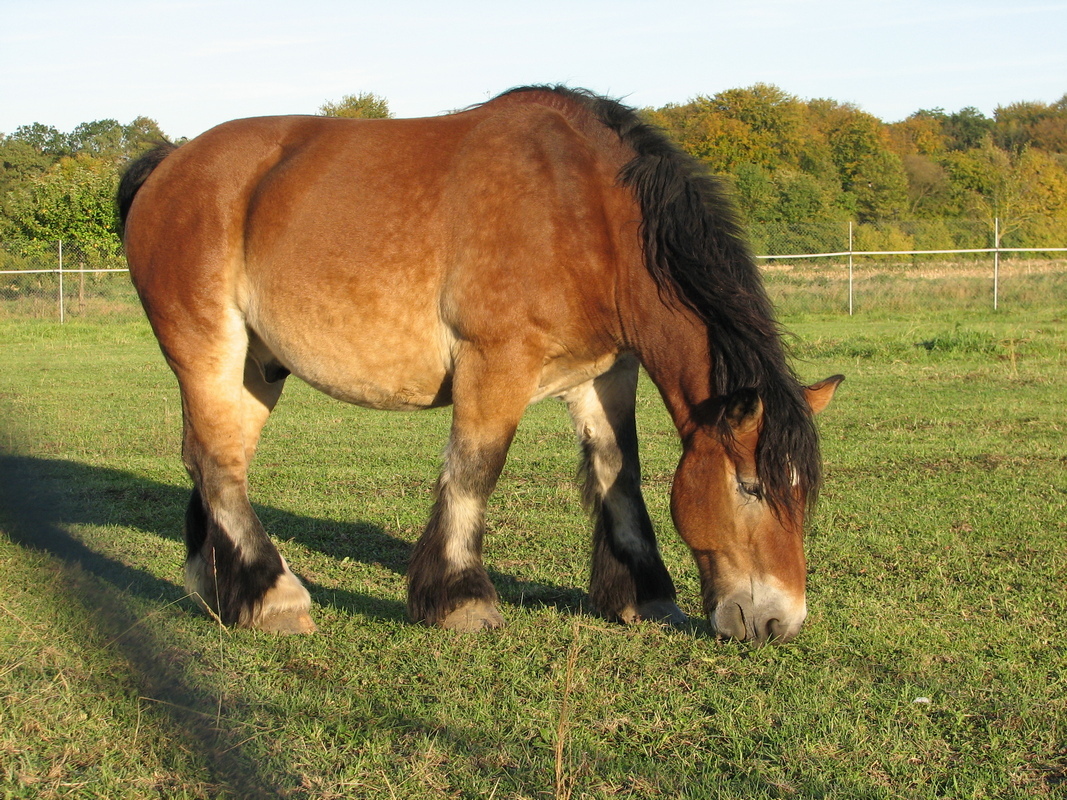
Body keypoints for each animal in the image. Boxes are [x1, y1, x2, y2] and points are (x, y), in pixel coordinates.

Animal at [118, 84, 840, 644]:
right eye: (751, 487)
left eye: (802, 493)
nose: (778, 622)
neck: (585, 208)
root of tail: (169, 163)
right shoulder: (496, 363)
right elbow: (474, 471)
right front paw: (460, 600)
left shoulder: (604, 374)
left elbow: (619, 472)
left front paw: (644, 594)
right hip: (207, 348)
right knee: (217, 464)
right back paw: (274, 596)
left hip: (255, 368)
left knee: (216, 460)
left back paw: (220, 589)